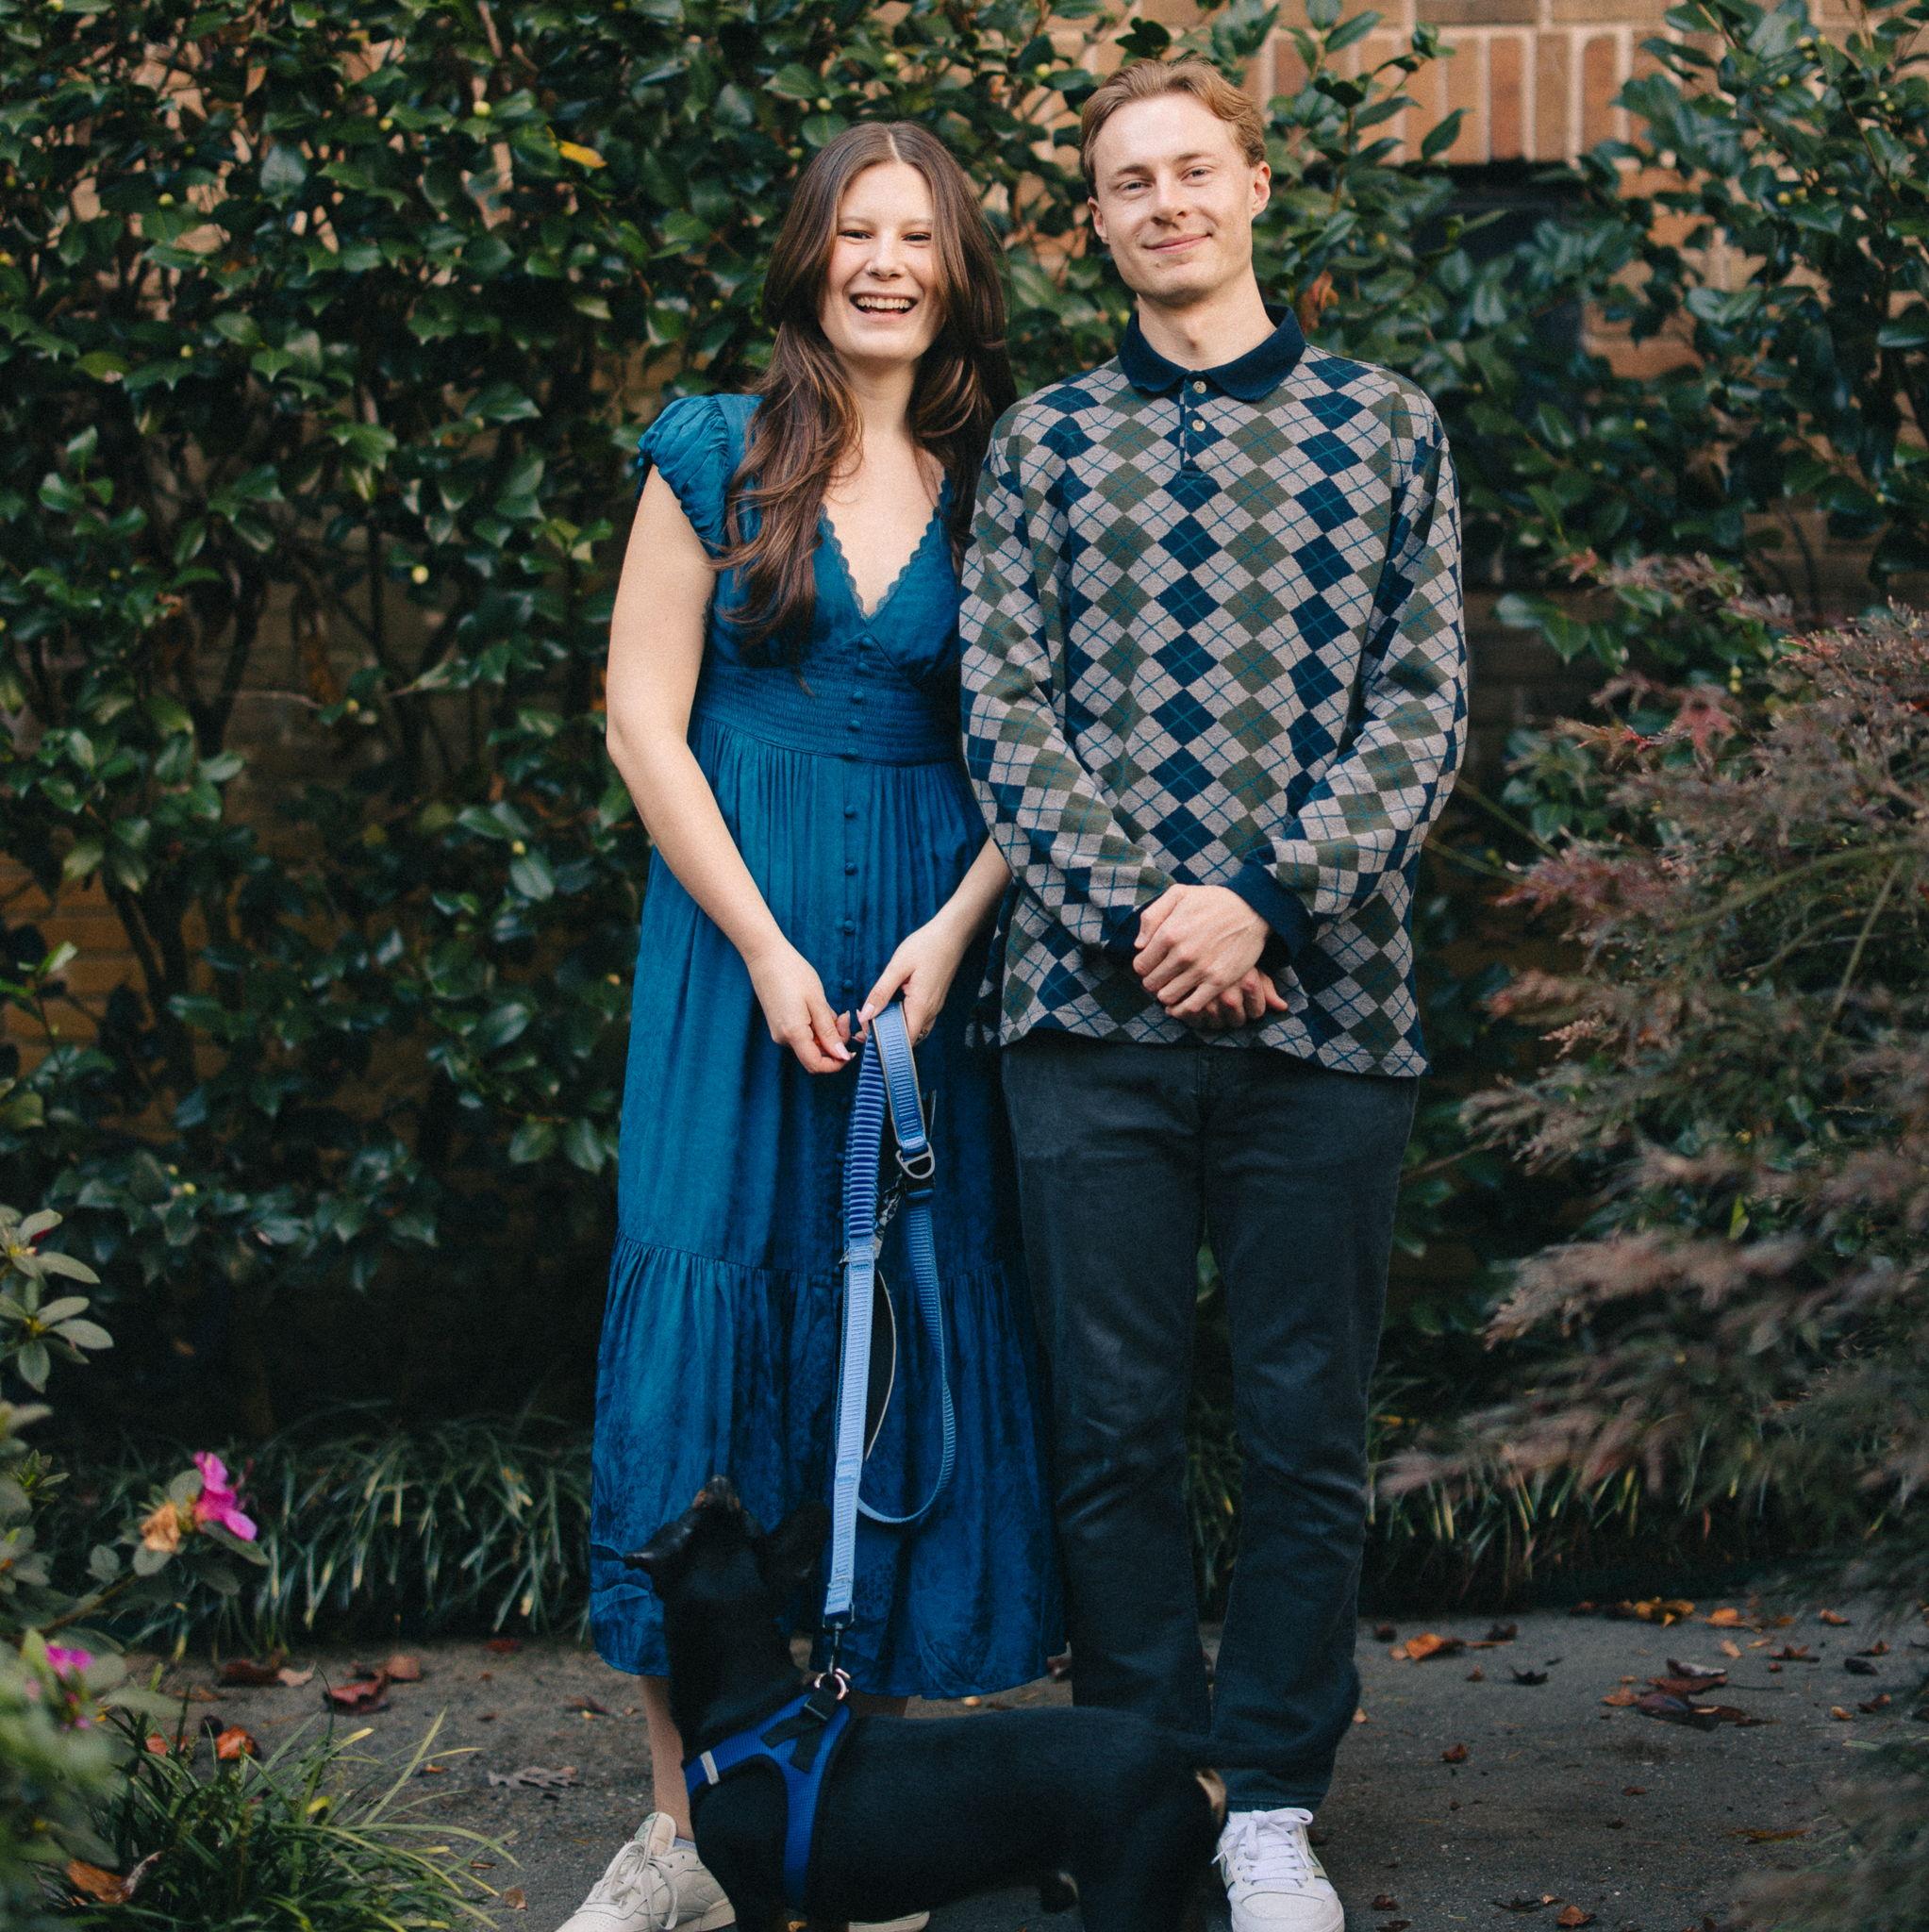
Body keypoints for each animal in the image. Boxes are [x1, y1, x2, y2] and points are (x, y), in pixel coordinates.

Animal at [627, 1477, 1246, 1932]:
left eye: (685, 1522)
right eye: (748, 1522)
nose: (720, 1482)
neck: (755, 1706)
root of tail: (1176, 1746)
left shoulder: (756, 1898)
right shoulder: (826, 1908)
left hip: (1126, 1898)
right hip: (1175, 1898)